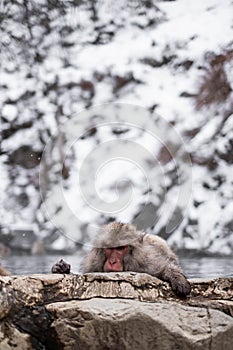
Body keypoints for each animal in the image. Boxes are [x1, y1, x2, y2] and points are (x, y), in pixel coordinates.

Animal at [51, 221, 191, 296]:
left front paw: (178, 279)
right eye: (109, 248)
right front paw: (61, 268)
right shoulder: (93, 265)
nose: (112, 261)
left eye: (119, 248)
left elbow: (165, 267)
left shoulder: (148, 263)